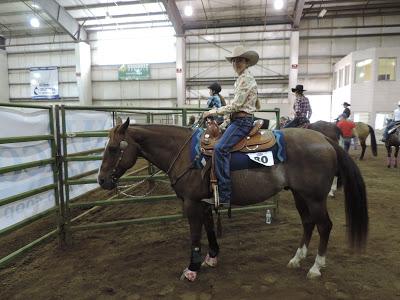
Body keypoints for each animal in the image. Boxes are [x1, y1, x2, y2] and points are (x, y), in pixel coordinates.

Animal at [97, 119, 368, 282]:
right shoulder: (204, 202)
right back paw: (297, 259)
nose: (102, 180)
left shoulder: (191, 203)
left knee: (324, 225)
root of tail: (326, 141)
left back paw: (316, 267)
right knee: (308, 223)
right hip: (300, 195)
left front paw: (191, 269)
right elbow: (209, 230)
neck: (185, 154)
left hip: (314, 198)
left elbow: (195, 236)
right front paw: (211, 258)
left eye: (113, 148)